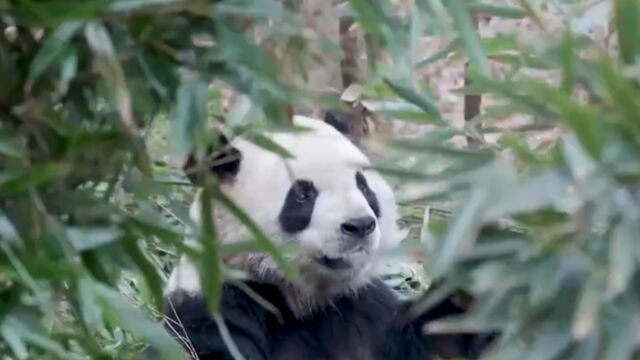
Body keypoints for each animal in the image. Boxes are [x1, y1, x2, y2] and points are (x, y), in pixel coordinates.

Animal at [161, 114, 496, 360]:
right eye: (302, 195)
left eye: (363, 186)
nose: (360, 226)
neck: (303, 297)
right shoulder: (217, 304)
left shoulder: (361, 304)